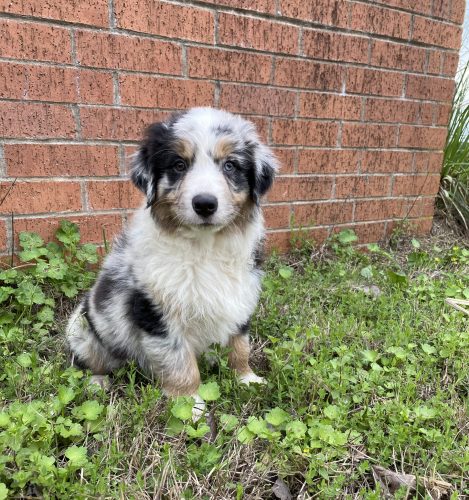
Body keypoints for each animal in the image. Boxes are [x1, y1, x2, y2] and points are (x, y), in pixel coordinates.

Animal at [66, 106, 278, 418]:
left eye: (230, 166)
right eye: (179, 165)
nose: (205, 204)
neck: (204, 247)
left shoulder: (240, 296)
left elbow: (240, 346)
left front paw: (246, 379)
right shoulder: (156, 312)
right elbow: (180, 363)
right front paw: (190, 405)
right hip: (82, 330)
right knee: (92, 361)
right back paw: (98, 382)